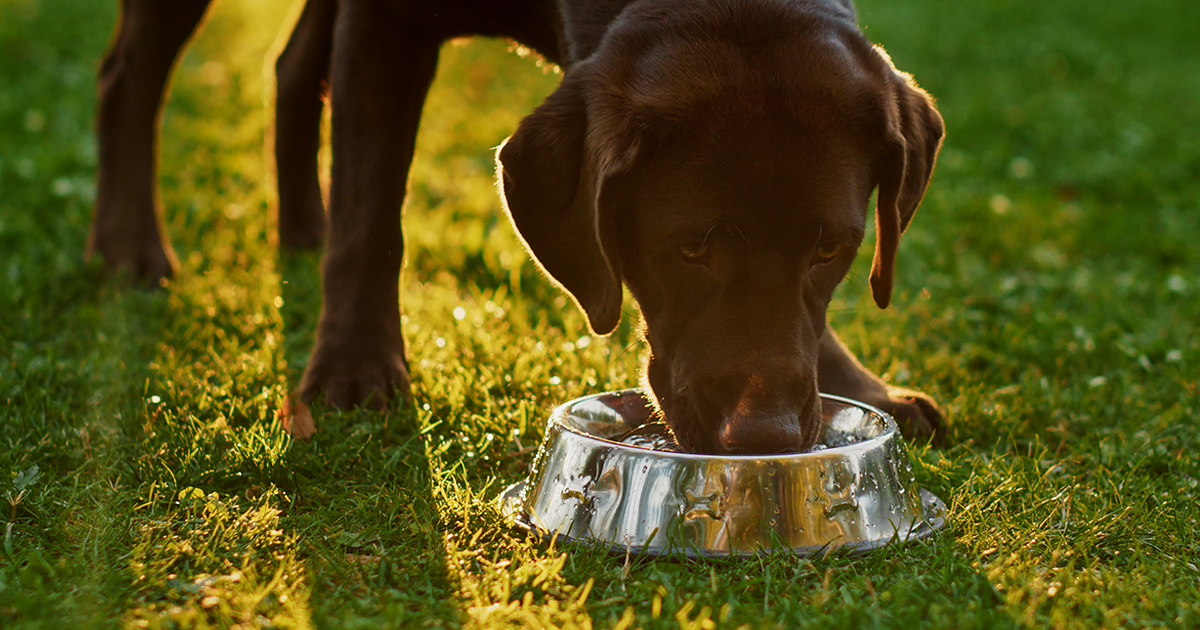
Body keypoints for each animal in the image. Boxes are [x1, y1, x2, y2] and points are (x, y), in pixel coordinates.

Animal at [88, 0, 940, 453]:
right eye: (691, 248)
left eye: (830, 248)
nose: (763, 436)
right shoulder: (386, 21)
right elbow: (371, 214)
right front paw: (354, 370)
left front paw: (860, 386)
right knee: (129, 69)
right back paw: (129, 247)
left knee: (293, 64)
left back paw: (301, 227)